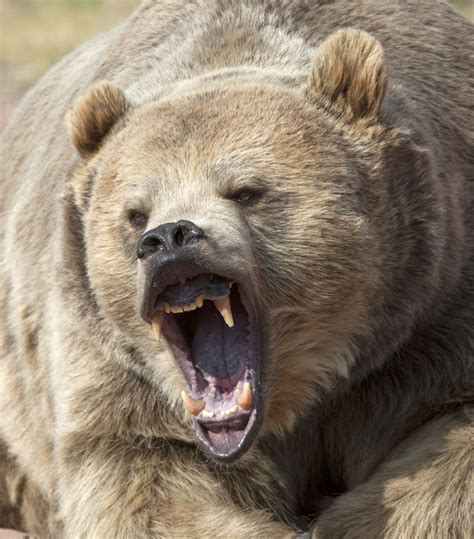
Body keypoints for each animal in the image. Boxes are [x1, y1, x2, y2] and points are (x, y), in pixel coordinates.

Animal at [0, 1, 474, 539]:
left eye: (246, 191)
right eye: (135, 213)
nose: (168, 239)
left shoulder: (432, 307)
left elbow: (448, 441)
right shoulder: (112, 360)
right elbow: (143, 475)